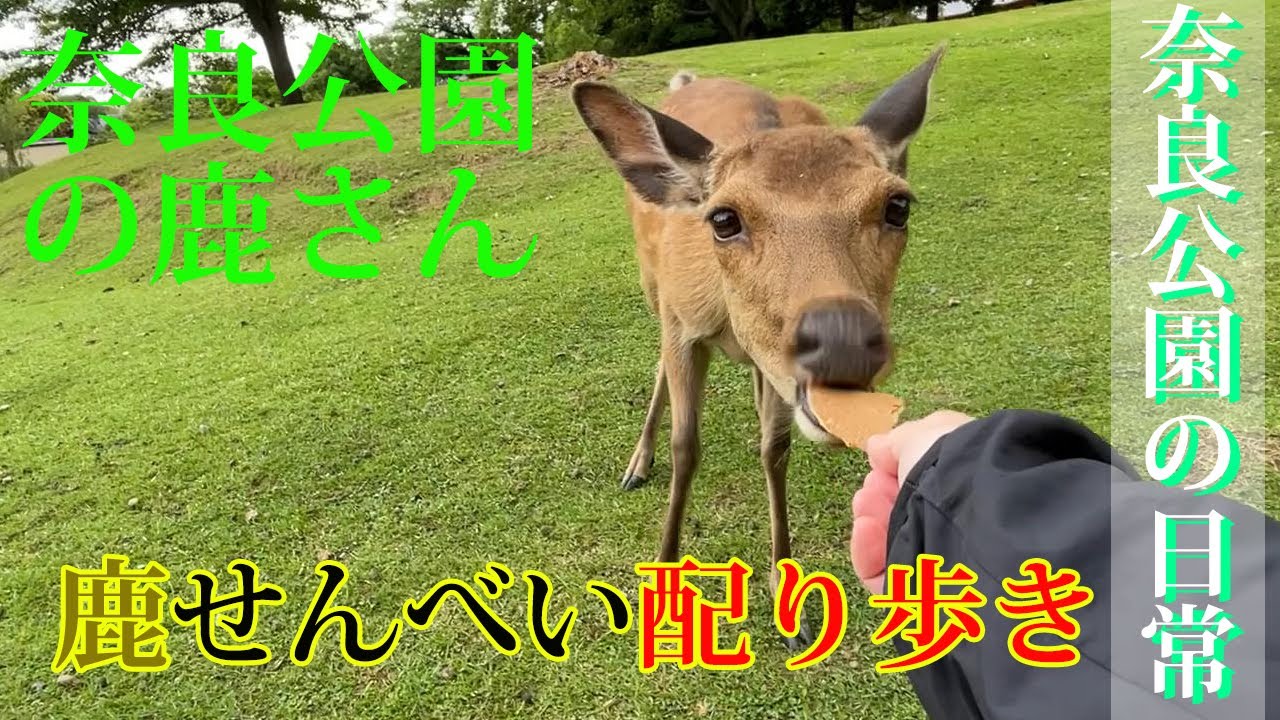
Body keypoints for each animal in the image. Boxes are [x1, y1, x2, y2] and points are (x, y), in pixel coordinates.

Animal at [571, 47, 943, 645]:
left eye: (898, 206)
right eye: (723, 219)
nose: (842, 342)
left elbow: (777, 448)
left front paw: (784, 594)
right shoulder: (681, 324)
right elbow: (686, 446)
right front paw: (664, 574)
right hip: (652, 285)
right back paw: (637, 463)